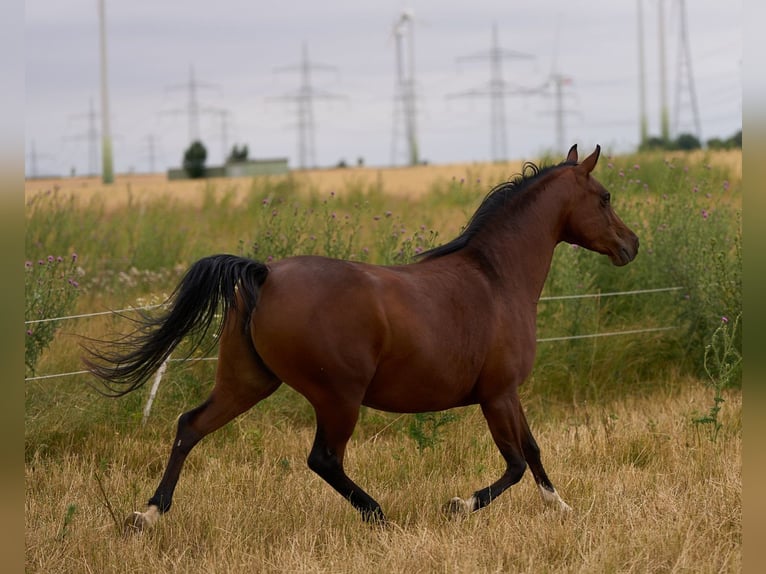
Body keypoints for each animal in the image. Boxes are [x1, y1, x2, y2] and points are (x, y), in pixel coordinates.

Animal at [84, 146, 640, 532]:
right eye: (605, 197)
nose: (631, 245)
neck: (496, 278)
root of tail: (264, 273)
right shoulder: (497, 394)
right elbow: (517, 462)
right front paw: (458, 506)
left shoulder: (507, 394)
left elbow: (534, 451)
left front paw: (562, 507)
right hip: (338, 397)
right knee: (323, 459)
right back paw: (380, 516)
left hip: (248, 382)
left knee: (190, 426)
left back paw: (147, 514)